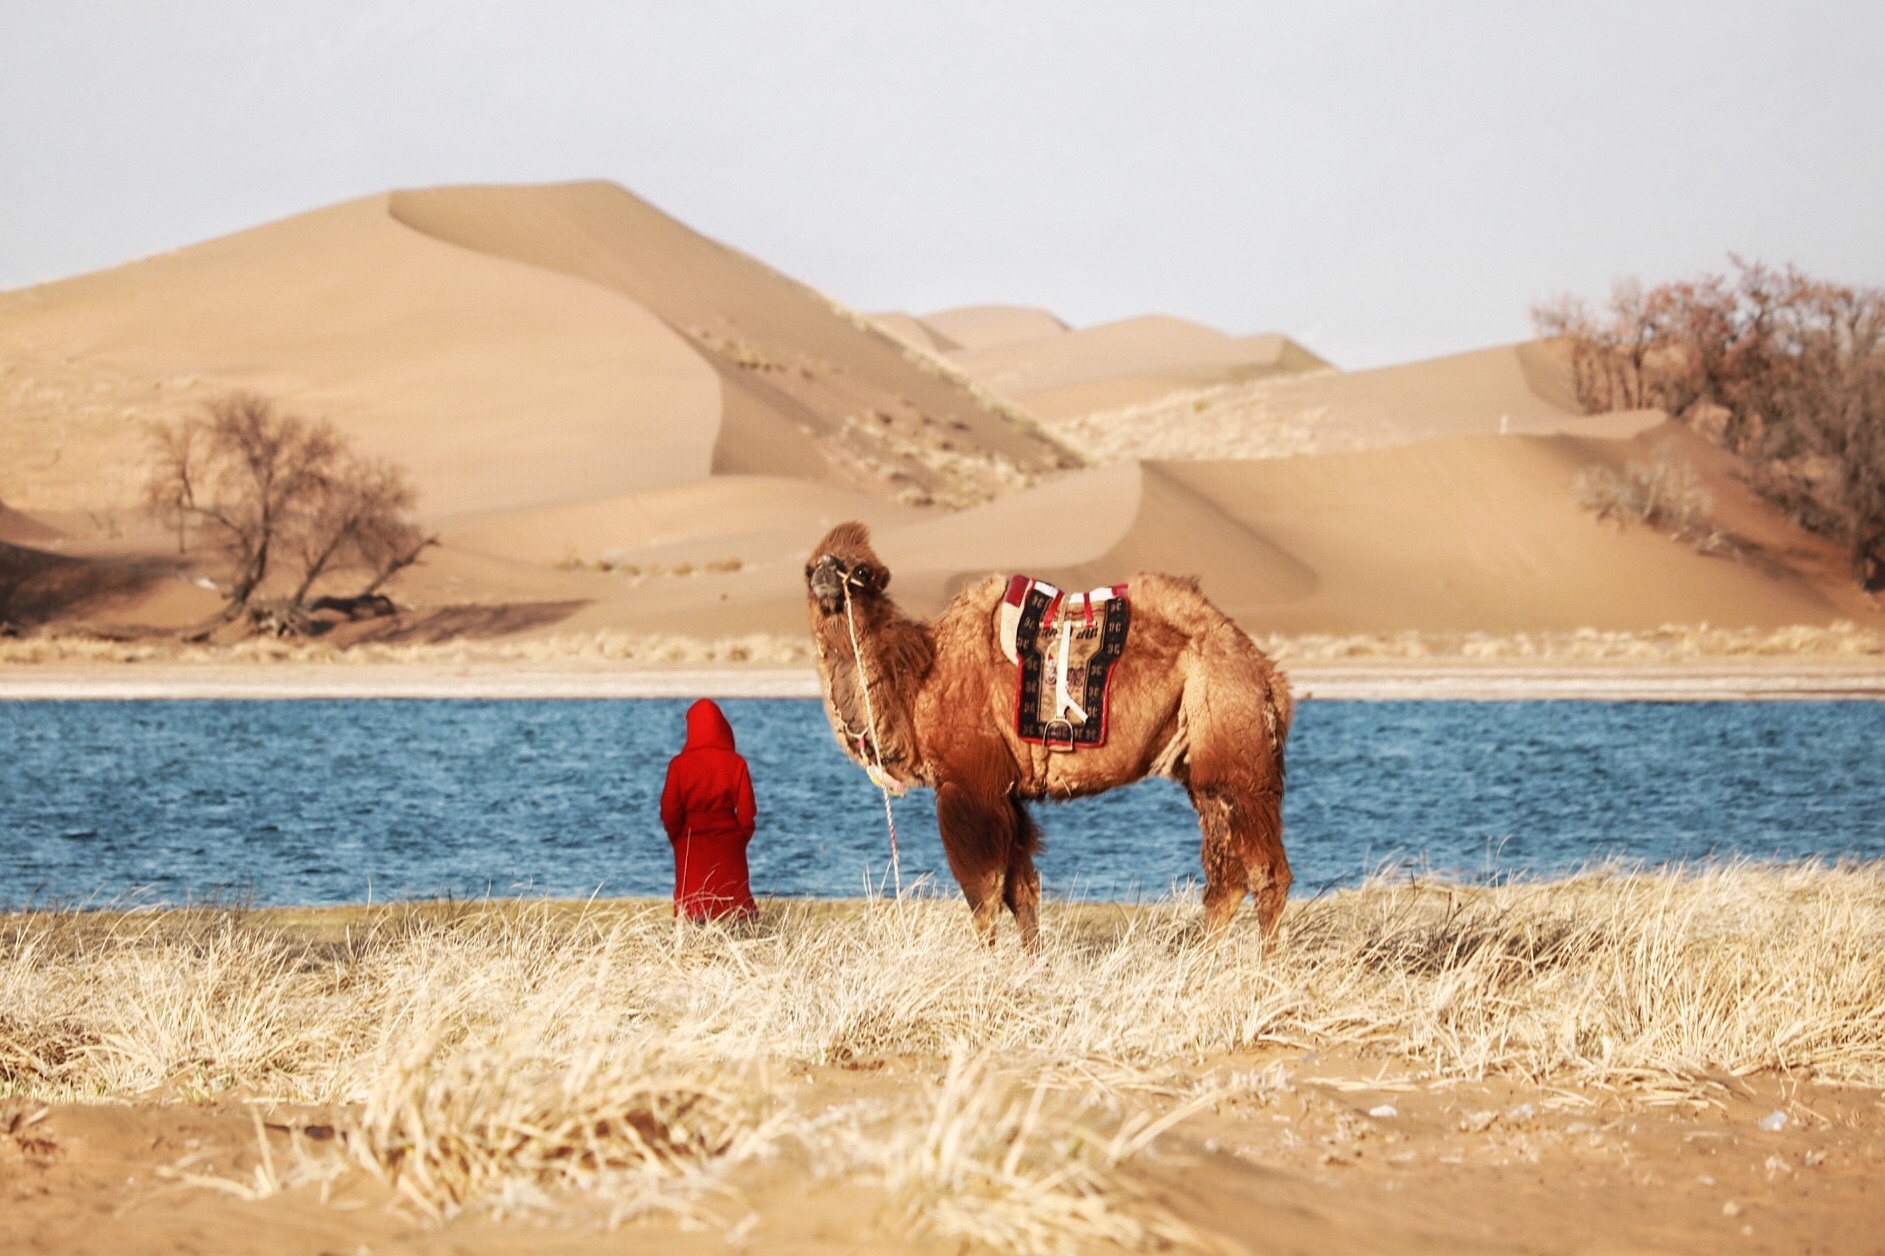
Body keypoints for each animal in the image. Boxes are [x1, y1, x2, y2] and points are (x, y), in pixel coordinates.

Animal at [803, 520, 1289, 950]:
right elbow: (1021, 891)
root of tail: (1266, 673)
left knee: (1267, 874)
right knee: (1226, 876)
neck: (919, 680)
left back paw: (1263, 973)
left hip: (1237, 744)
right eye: (810, 568)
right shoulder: (1007, 791)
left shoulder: (969, 784)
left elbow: (983, 892)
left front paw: (987, 968)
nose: (826, 574)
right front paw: (1030, 964)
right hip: (1203, 765)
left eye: (861, 573)